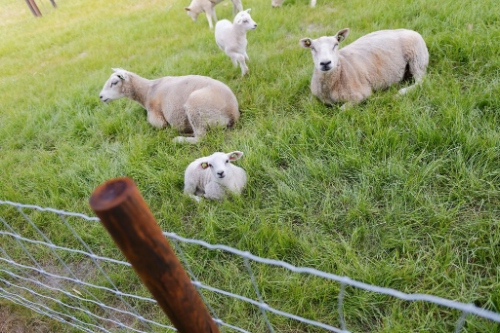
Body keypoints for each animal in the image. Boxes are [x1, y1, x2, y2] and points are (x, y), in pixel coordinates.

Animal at [99, 68, 240, 143]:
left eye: (114, 82)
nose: (100, 96)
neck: (147, 92)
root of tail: (233, 114)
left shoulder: (157, 118)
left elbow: (161, 125)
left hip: (196, 107)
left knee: (200, 137)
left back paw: (179, 139)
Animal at [300, 28, 430, 108]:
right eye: (312, 48)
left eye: (336, 45)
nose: (325, 63)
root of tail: (409, 30)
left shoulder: (360, 95)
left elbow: (342, 110)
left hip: (417, 59)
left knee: (421, 80)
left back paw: (401, 92)